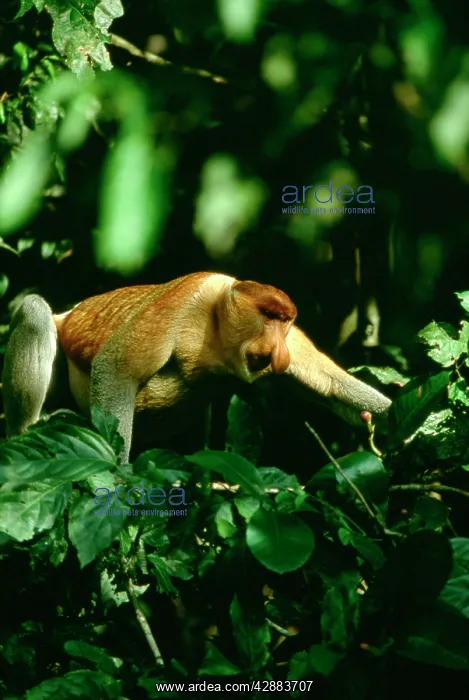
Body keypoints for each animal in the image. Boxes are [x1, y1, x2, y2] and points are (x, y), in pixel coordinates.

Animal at [1, 272, 391, 463]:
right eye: (267, 315)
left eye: (285, 321)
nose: (280, 354)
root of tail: (67, 315)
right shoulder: (182, 304)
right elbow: (116, 368)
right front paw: (119, 474)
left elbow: (331, 385)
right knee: (34, 311)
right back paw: (27, 429)